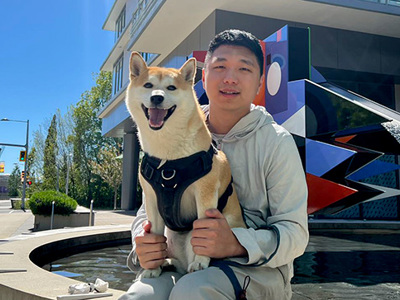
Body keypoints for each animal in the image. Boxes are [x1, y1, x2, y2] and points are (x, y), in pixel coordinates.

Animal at [125, 51, 245, 278]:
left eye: (171, 88)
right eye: (148, 85)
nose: (157, 97)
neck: (168, 158)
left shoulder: (205, 193)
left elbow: (204, 232)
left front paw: (200, 261)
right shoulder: (152, 197)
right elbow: (154, 234)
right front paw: (151, 268)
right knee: (176, 261)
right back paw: (168, 262)